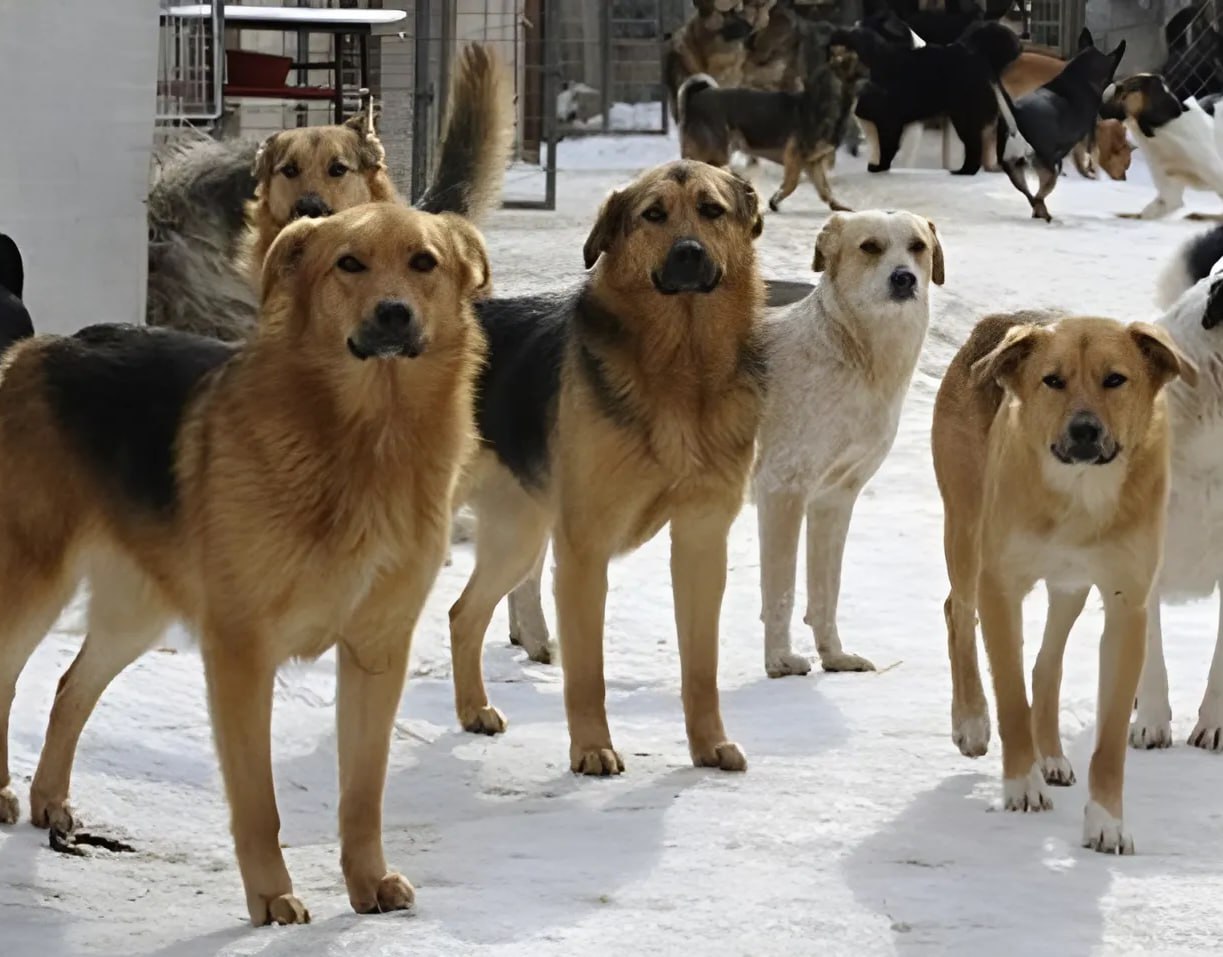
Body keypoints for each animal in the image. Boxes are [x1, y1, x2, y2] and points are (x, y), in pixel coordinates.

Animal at [0, 204, 489, 928]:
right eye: (349, 263)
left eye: (423, 262)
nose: (394, 314)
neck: (366, 438)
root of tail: (39, 350)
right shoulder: (240, 654)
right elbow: (259, 802)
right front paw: (271, 896)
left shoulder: (376, 654)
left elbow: (363, 792)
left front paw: (366, 880)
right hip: (33, 584)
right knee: (11, 678)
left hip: (136, 616)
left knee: (70, 688)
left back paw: (48, 800)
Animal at [445, 157, 763, 772]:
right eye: (653, 214)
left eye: (711, 210)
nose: (688, 253)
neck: (681, 368)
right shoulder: (584, 551)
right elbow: (586, 672)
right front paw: (592, 748)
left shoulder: (701, 541)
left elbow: (701, 667)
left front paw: (708, 744)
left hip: (518, 537)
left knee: (462, 614)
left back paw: (473, 710)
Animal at [758, 210, 939, 679]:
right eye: (870, 247)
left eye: (918, 247)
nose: (904, 278)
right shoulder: (782, 490)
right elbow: (780, 591)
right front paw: (780, 662)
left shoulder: (834, 498)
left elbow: (827, 591)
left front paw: (835, 657)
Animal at [934, 312, 1193, 855]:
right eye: (1052, 380)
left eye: (1115, 379)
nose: (1084, 430)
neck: (1080, 495)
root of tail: (994, 323)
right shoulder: (1000, 586)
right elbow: (1011, 696)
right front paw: (1021, 787)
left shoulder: (1126, 604)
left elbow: (1110, 737)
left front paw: (1107, 822)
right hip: (965, 532)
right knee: (957, 613)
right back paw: (971, 721)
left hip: (1069, 585)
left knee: (1046, 663)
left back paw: (1050, 755)